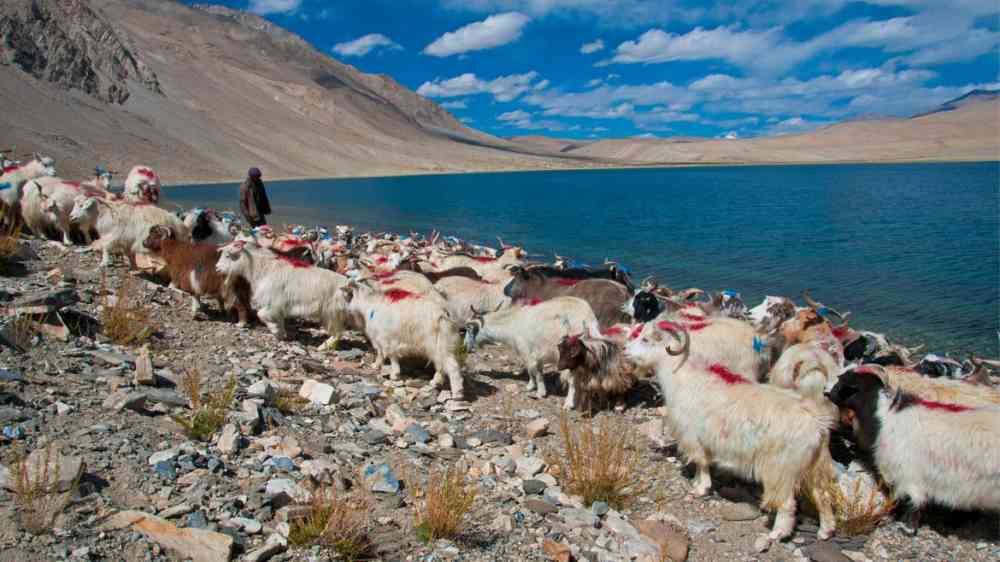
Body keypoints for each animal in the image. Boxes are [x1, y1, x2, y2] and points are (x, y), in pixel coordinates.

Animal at [628, 322, 840, 540]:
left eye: (646, 339)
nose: (626, 352)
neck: (682, 375)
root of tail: (817, 423)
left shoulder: (692, 436)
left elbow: (701, 462)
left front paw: (701, 488)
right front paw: (697, 483)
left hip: (781, 469)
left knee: (787, 503)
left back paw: (777, 534)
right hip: (815, 466)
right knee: (822, 495)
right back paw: (825, 531)